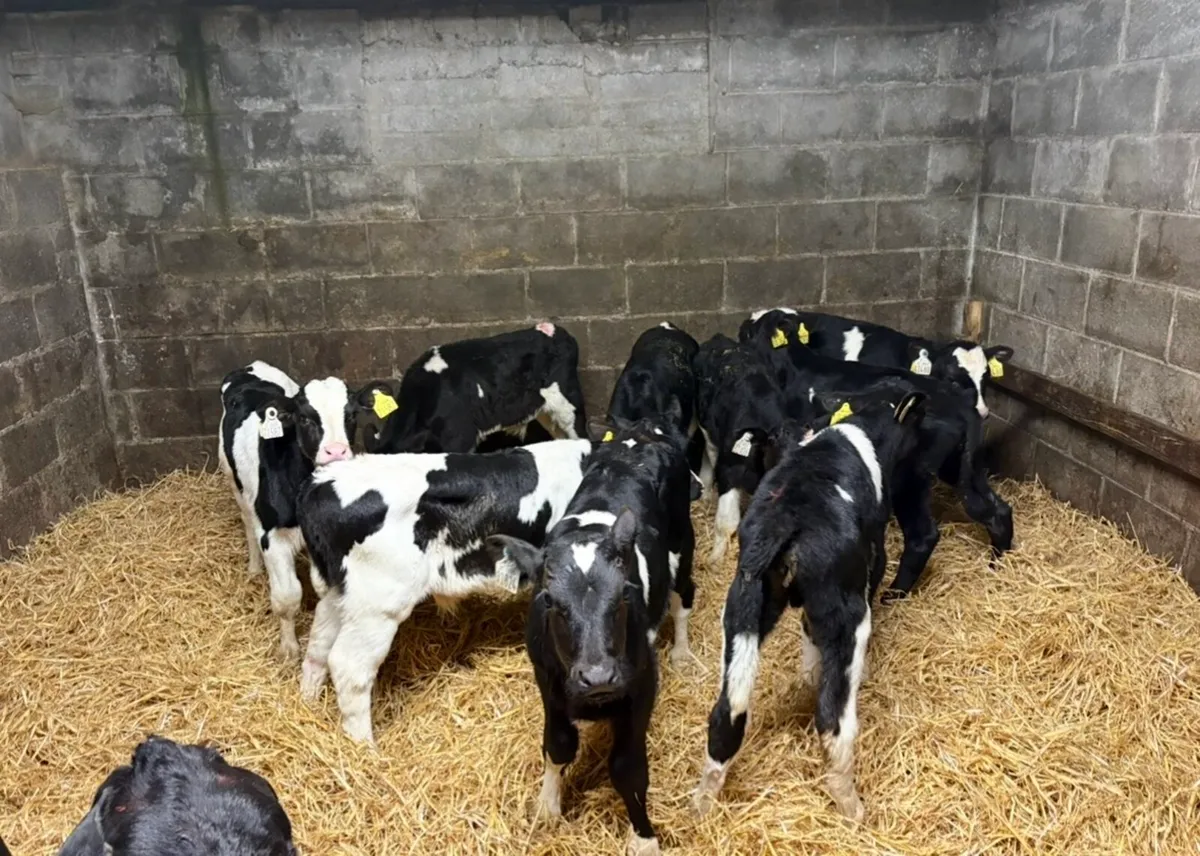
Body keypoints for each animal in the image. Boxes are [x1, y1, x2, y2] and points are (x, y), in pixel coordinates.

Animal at [218, 361, 356, 660]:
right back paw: (254, 568)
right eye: (304, 418)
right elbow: (287, 597)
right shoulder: (273, 536)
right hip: (233, 481)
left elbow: (324, 587)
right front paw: (289, 648)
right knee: (247, 522)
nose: (337, 451)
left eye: (351, 415)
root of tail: (252, 366)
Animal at [296, 438, 594, 745]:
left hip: (340, 594)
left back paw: (308, 704)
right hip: (378, 604)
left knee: (318, 645)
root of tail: (320, 483)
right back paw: (364, 746)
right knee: (349, 667)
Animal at [486, 409, 697, 856]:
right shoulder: (548, 680)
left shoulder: (641, 685)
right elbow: (558, 744)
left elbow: (628, 768)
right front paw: (546, 807)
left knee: (683, 594)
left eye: (623, 596)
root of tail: (638, 434)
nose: (598, 676)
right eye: (550, 601)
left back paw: (683, 653)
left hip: (683, 544)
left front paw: (643, 838)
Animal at [694, 393, 926, 824]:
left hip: (744, 604)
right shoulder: (873, 560)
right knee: (833, 723)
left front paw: (806, 678)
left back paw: (701, 804)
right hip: (847, 614)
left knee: (727, 712)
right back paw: (852, 808)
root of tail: (786, 521)